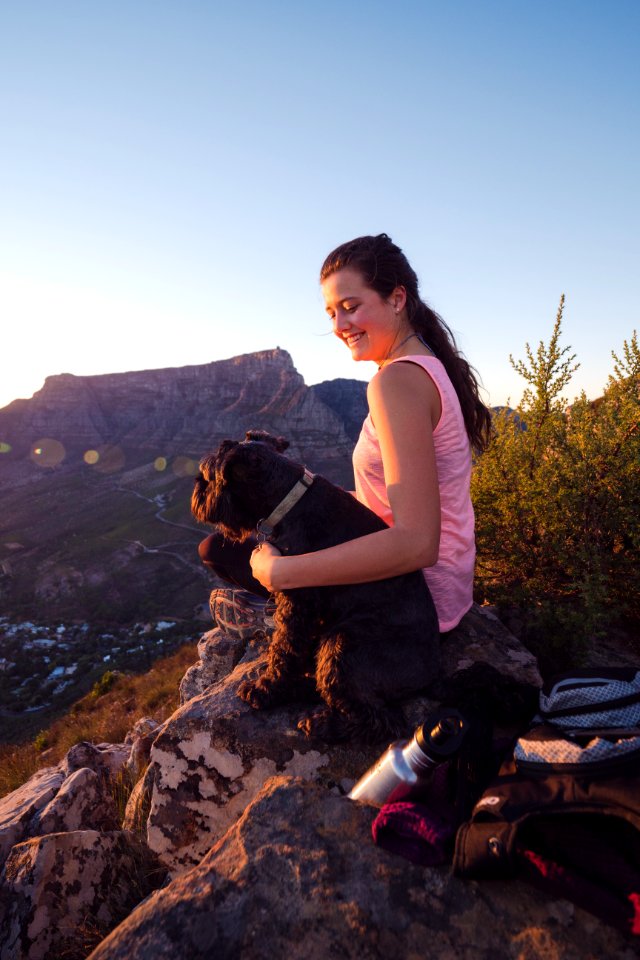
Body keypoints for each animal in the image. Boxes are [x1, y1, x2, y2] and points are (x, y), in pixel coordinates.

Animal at [190, 434, 440, 744]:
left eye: (208, 474)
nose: (197, 492)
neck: (288, 499)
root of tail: (433, 671)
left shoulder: (296, 599)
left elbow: (284, 647)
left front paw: (265, 689)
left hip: (344, 644)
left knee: (381, 720)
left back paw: (322, 724)